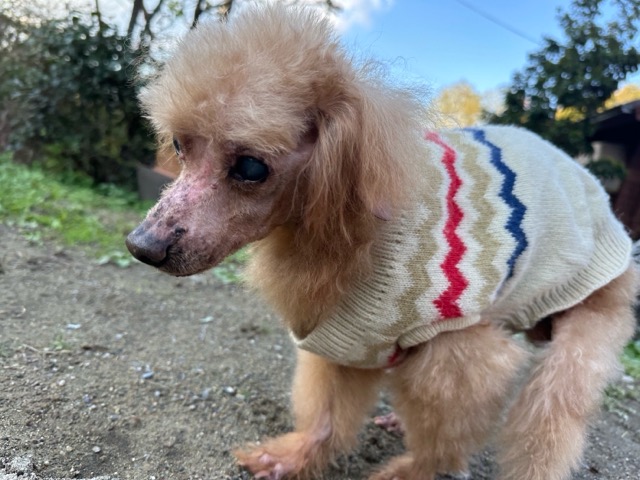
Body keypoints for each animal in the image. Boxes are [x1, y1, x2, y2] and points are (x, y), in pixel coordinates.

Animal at [126, 5, 638, 479]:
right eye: (179, 146)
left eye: (251, 167)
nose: (142, 245)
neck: (344, 227)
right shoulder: (347, 339)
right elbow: (327, 413)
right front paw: (292, 458)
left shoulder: (458, 355)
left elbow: (446, 432)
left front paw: (416, 470)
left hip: (585, 325)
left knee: (552, 412)